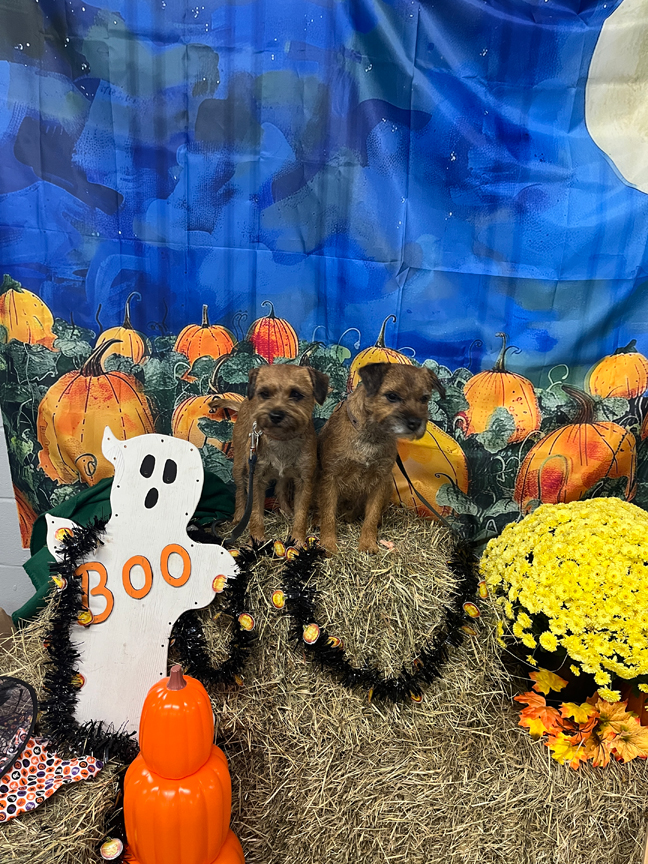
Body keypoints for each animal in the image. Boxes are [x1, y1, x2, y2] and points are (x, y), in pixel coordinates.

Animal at [225, 364, 329, 546]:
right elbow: (255, 514)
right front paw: (256, 540)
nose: (275, 415)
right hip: (239, 465)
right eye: (264, 394)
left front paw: (298, 540)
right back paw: (238, 517)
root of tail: (245, 401)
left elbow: (301, 514)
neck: (282, 439)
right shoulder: (256, 480)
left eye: (296, 394)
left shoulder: (304, 481)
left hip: (285, 477)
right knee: (239, 491)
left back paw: (286, 511)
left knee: (280, 489)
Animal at [317, 362, 444, 555]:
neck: (371, 437)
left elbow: (372, 515)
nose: (415, 423)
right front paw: (328, 543)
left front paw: (368, 543)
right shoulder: (330, 478)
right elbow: (328, 514)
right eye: (392, 396)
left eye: (424, 398)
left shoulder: (380, 481)